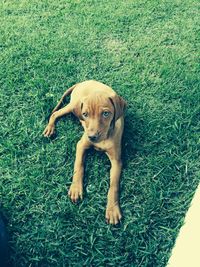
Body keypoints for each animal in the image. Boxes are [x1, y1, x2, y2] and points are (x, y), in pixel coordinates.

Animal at [43, 80, 126, 225]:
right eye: (85, 114)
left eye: (106, 113)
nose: (92, 137)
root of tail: (83, 82)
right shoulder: (81, 145)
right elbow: (79, 166)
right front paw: (76, 189)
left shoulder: (117, 161)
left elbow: (114, 186)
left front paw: (112, 209)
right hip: (72, 106)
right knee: (55, 113)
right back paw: (50, 128)